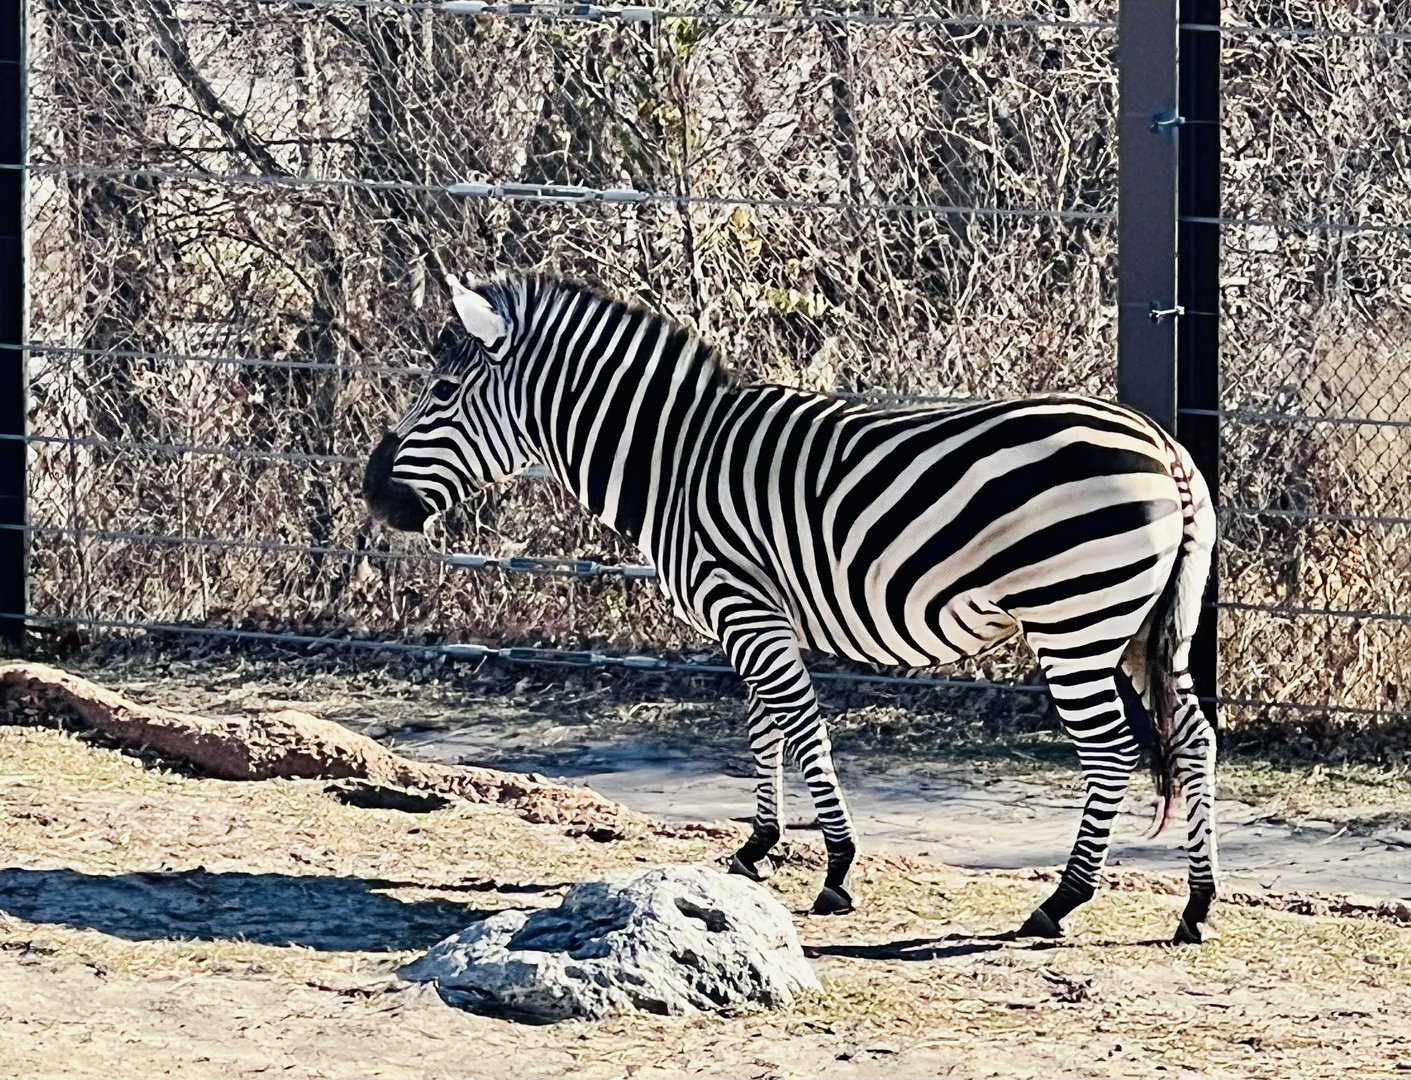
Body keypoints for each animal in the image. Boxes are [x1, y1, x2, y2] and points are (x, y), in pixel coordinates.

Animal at [363, 272, 1219, 944]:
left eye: (441, 392)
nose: (372, 496)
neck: (673, 463)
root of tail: (1166, 449)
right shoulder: (753, 613)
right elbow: (763, 724)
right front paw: (758, 846)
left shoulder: (739, 601)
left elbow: (800, 725)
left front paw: (835, 867)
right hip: (1144, 625)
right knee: (1193, 737)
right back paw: (1195, 906)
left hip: (1071, 620)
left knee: (1110, 751)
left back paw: (1060, 901)